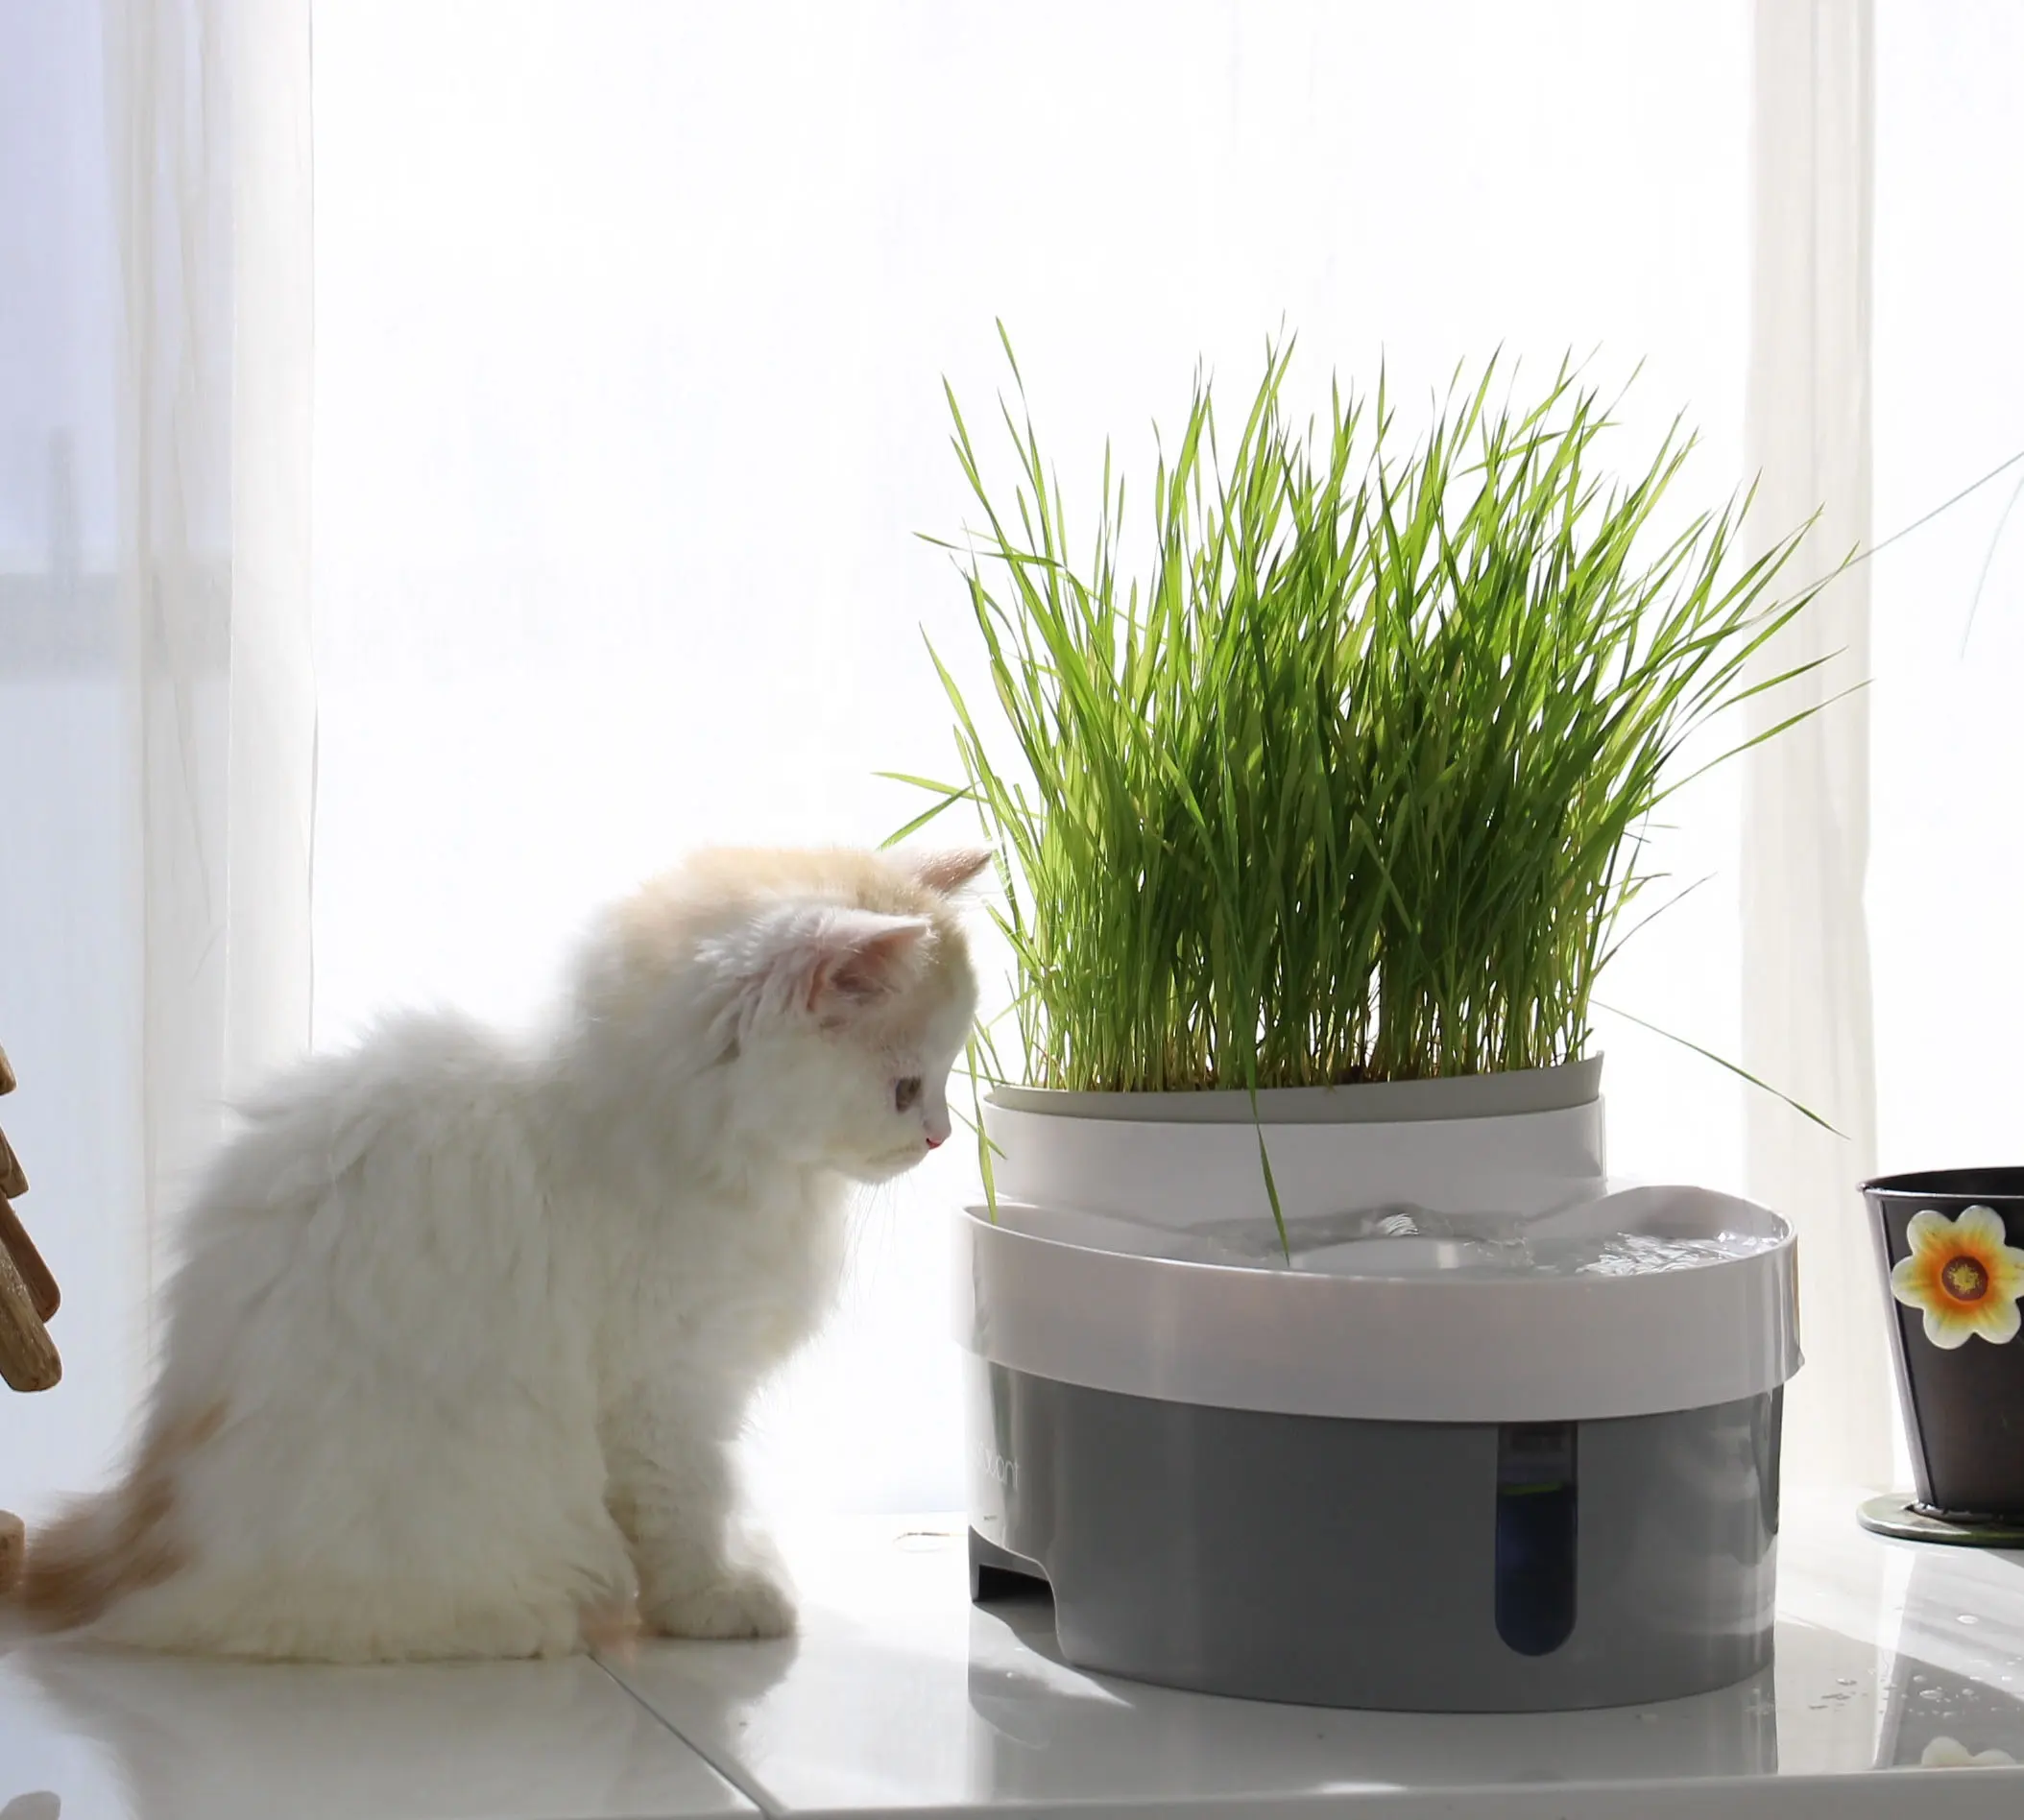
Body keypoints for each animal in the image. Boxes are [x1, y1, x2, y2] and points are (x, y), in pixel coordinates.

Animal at [23, 846, 987, 1660]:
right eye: (907, 1088)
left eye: (945, 1081)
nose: (941, 1137)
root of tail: (137, 1557)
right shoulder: (667, 1389)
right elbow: (689, 1509)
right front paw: (715, 1602)